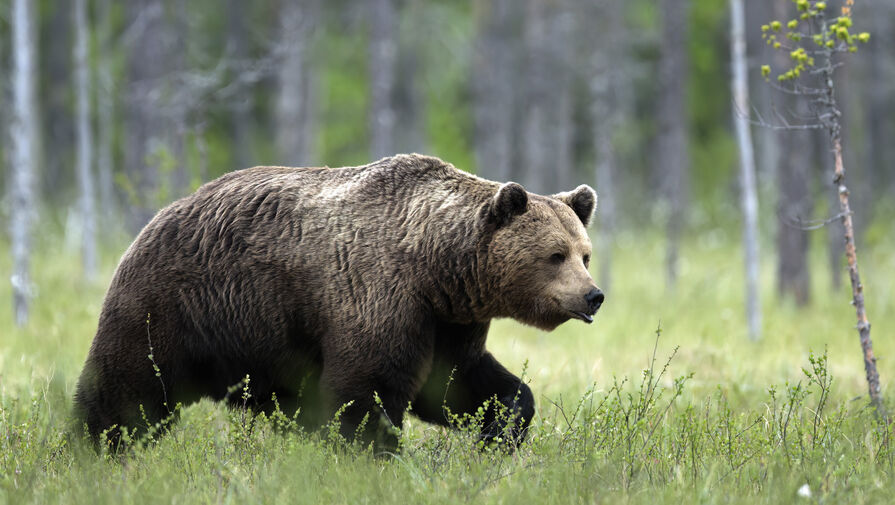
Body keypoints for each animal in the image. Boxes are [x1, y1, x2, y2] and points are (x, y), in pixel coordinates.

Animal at [73, 154, 603, 451]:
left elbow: (458, 383)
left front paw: (501, 432)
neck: (437, 267)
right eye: (554, 255)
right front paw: (372, 455)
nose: (593, 295)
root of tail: (156, 217)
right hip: (174, 304)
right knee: (129, 388)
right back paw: (96, 447)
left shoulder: (447, 321)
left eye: (585, 254)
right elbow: (366, 390)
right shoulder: (378, 293)